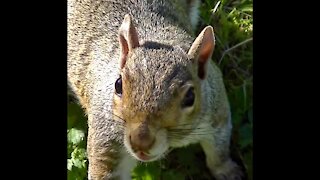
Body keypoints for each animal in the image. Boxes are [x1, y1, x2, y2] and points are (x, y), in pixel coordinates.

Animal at [67, 0, 242, 179]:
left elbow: (219, 150)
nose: (141, 142)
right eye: (118, 84)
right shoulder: (107, 138)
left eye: (190, 96)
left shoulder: (216, 111)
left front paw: (227, 171)